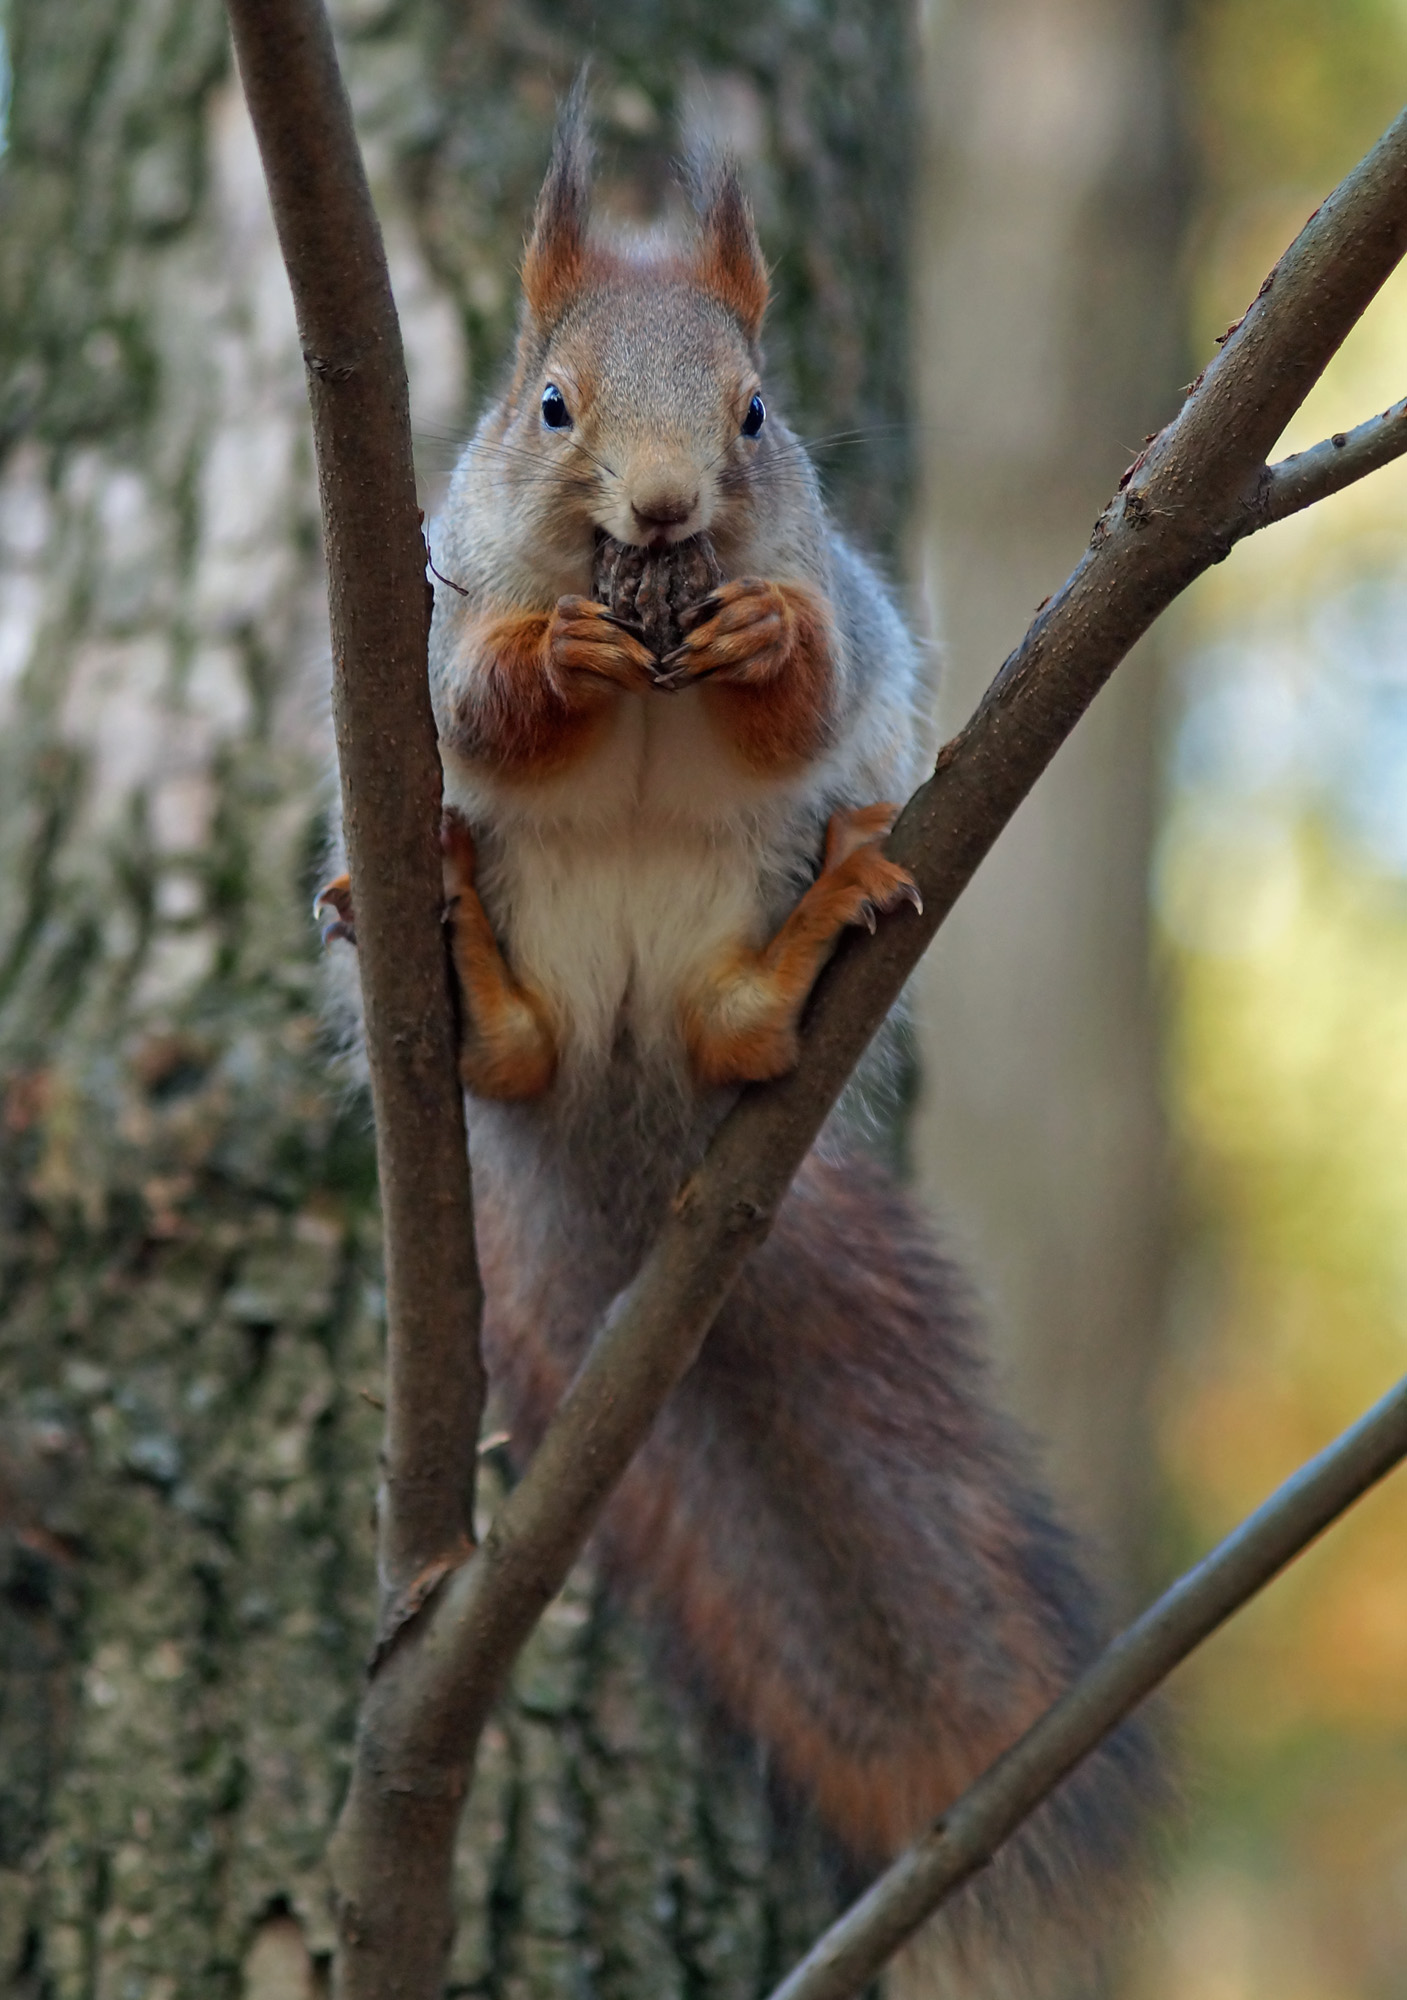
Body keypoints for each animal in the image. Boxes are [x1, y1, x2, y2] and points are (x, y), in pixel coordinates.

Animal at [323, 94, 1159, 2000]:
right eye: (548, 408)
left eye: (756, 412)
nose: (659, 503)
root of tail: (625, 1110)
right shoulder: (428, 632)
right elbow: (484, 702)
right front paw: (551, 652)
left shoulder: (831, 597)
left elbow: (807, 673)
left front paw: (764, 638)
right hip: (498, 942)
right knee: (513, 1060)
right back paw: (464, 965)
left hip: (753, 895)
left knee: (728, 1015)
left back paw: (797, 950)